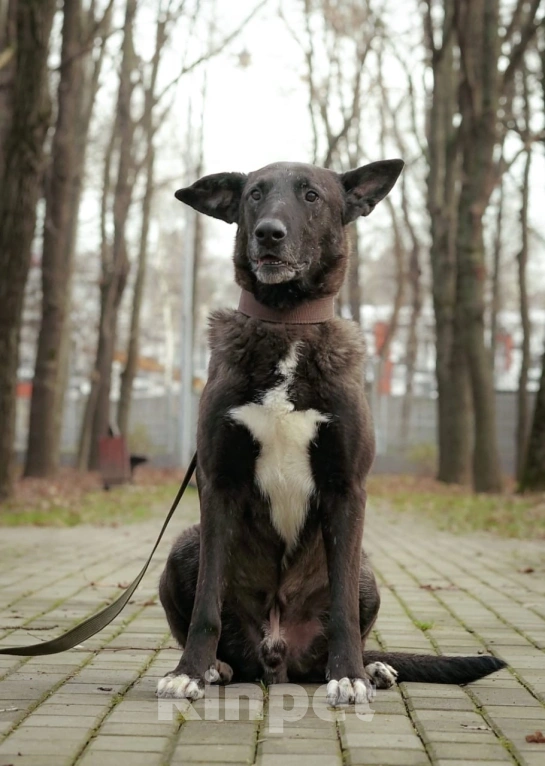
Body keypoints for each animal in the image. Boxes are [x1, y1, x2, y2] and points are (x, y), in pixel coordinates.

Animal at [155, 162, 504, 708]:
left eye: (312, 196)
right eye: (254, 194)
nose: (268, 233)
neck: (286, 325)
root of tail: (278, 656)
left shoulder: (347, 489)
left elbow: (342, 610)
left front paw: (350, 676)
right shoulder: (218, 484)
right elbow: (206, 604)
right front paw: (188, 672)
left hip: (367, 572)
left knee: (342, 637)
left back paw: (372, 667)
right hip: (182, 547)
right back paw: (217, 667)